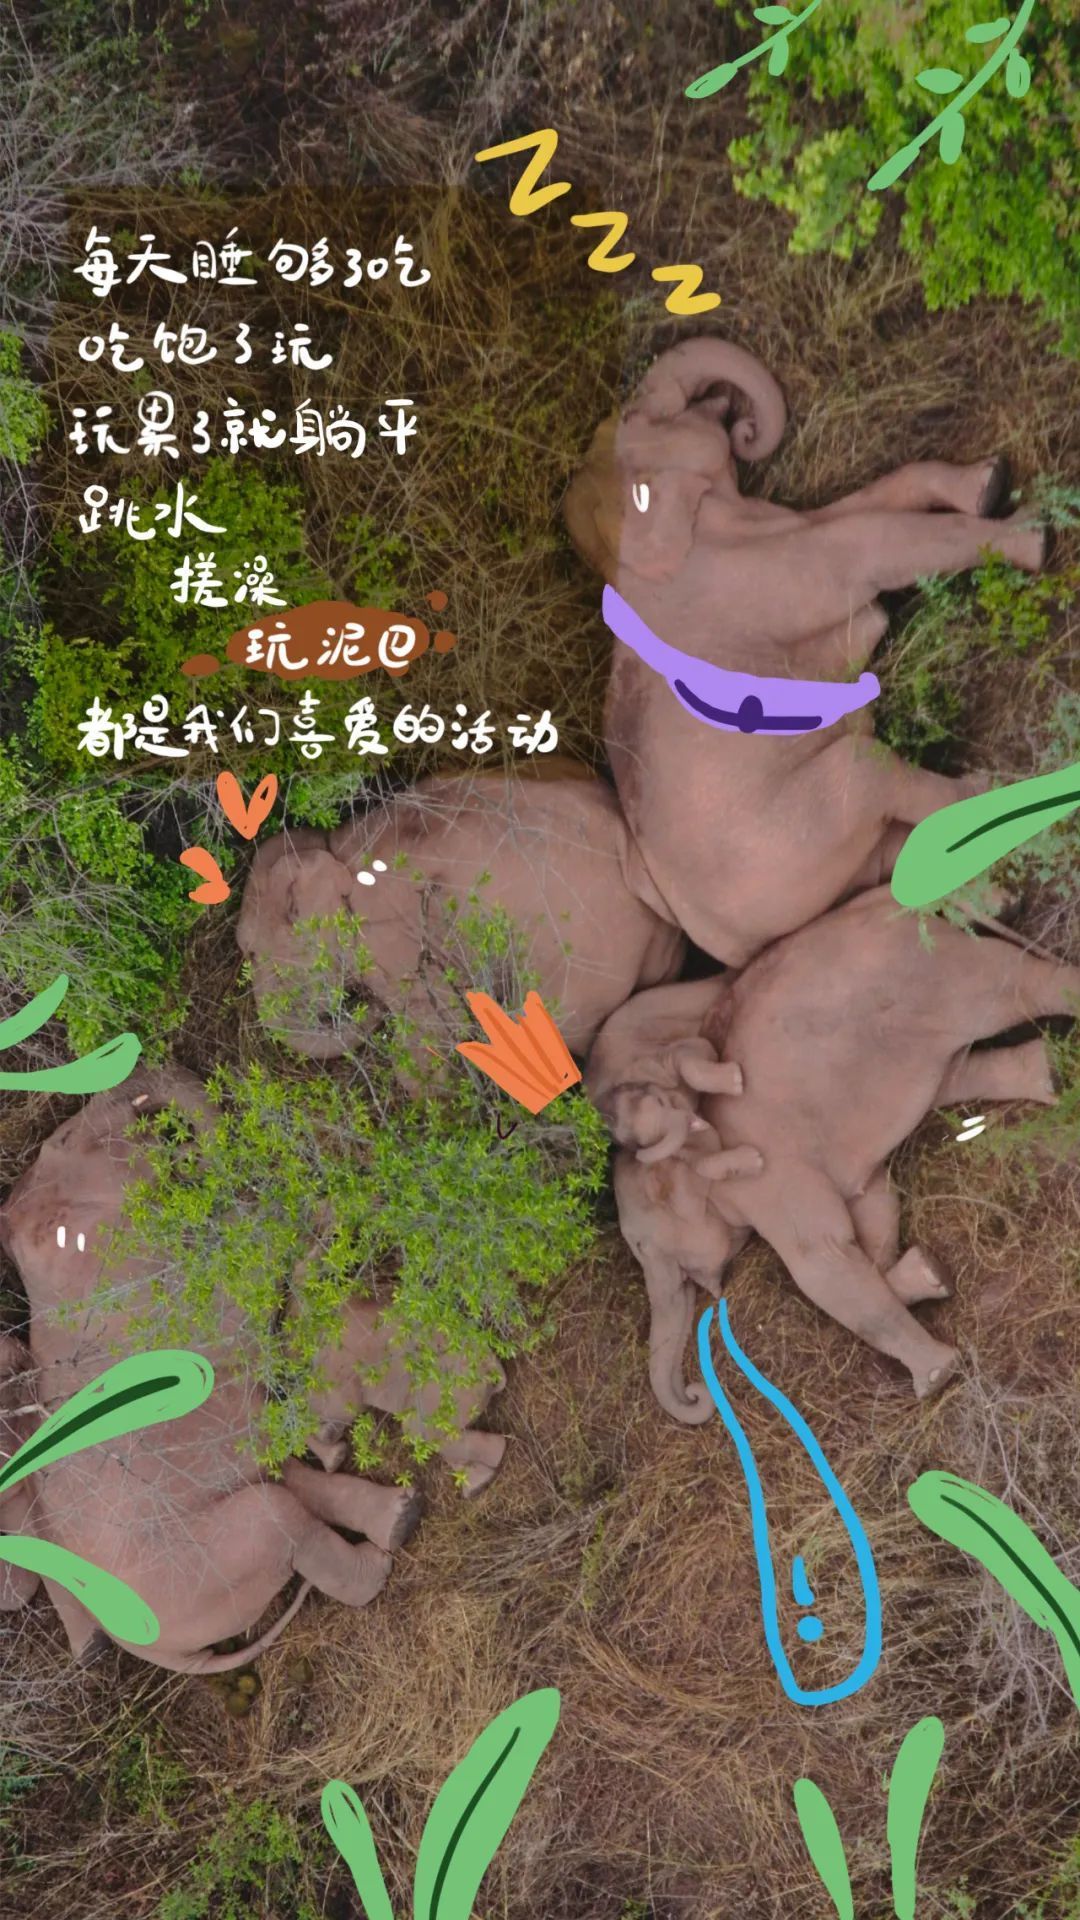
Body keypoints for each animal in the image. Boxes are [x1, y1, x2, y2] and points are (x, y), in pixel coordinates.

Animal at [0, 1068, 507, 1673]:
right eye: (66, 1139)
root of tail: (162, 1654)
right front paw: (335, 1208)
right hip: (203, 1566)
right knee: (281, 1516)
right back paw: (388, 1547)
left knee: (283, 1476)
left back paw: (399, 1511)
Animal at [236, 757, 685, 1067]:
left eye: (253, 950)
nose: (364, 1010)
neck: (335, 847)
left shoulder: (389, 941)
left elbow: (433, 1022)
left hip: (585, 977)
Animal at [562, 335, 1049, 971]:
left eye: (624, 418)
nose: (741, 422)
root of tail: (734, 946)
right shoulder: (776, 573)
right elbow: (880, 542)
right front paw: (1035, 534)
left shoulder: (781, 527)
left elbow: (860, 504)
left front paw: (988, 483)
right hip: (814, 815)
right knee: (885, 781)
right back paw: (988, 793)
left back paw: (1003, 900)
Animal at [593, 889, 1079, 1419]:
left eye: (642, 1245)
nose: (698, 1394)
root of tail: (886, 895)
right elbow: (873, 1211)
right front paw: (930, 1273)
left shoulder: (769, 1177)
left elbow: (820, 1262)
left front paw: (935, 1377)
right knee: (959, 1072)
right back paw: (1047, 1075)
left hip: (944, 975)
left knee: (1019, 989)